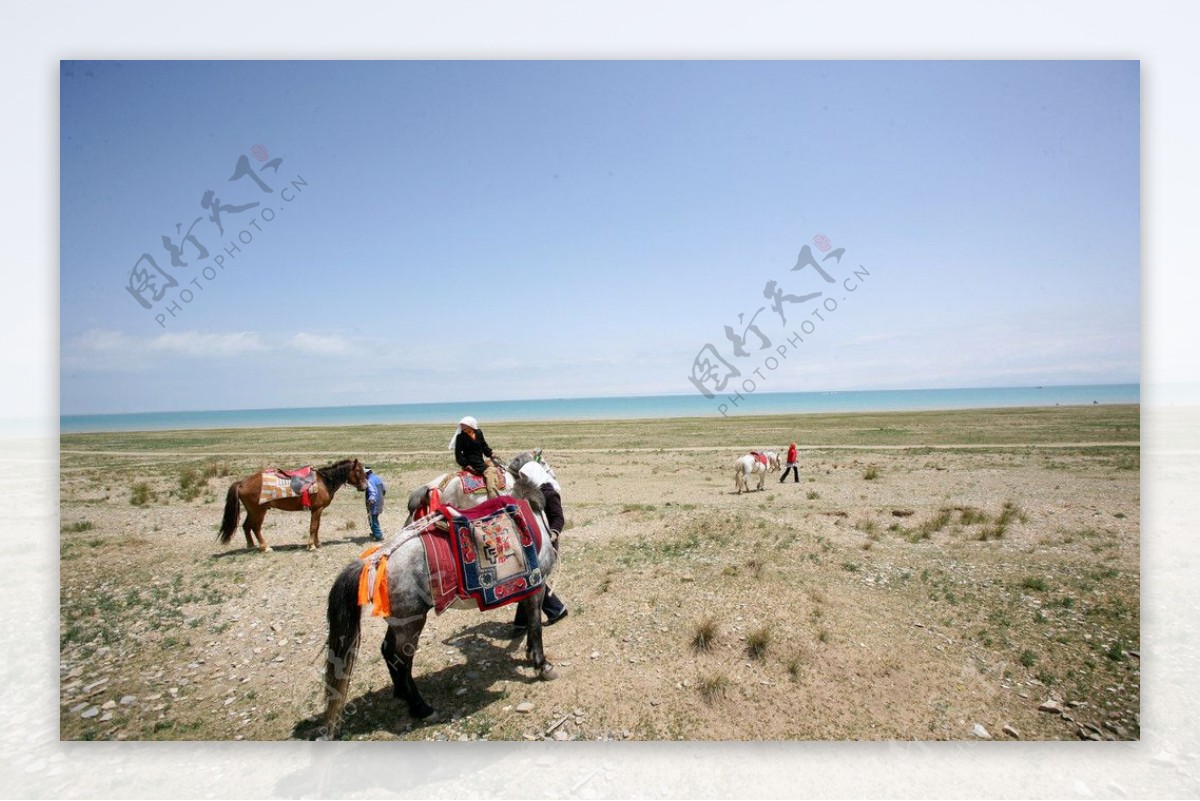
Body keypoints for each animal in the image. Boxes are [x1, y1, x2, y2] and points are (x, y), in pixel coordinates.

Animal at [216, 460, 364, 553]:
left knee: (246, 526)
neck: (324, 481)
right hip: (259, 511)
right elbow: (313, 527)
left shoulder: (318, 510)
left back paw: (251, 545)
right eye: (358, 470)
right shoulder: (316, 509)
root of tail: (242, 483)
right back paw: (265, 547)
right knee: (255, 527)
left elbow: (317, 527)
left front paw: (317, 543)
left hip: (251, 510)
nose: (364, 487)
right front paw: (311, 546)